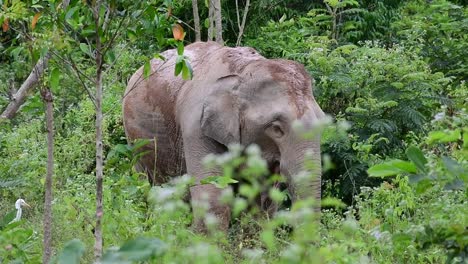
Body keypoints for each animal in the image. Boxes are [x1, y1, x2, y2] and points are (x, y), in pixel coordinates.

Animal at [122, 41, 324, 231]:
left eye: (323, 124)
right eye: (276, 128)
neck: (243, 71)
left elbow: (261, 204)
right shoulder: (195, 126)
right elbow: (213, 196)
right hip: (135, 141)